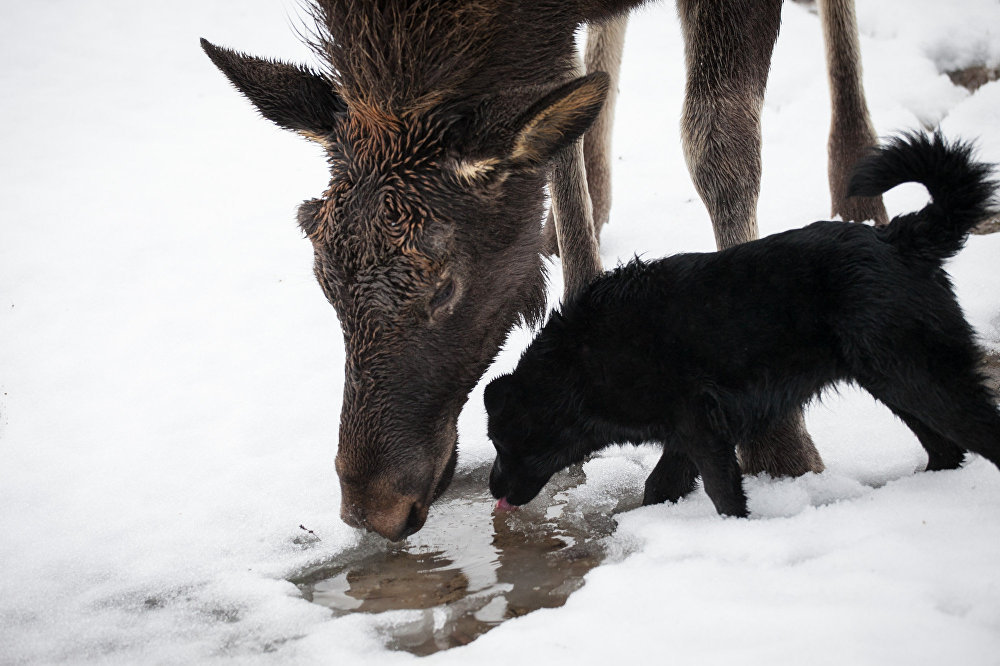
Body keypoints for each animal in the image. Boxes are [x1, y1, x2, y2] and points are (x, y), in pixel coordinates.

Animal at [201, 0, 884, 540]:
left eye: (445, 285)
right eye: (323, 281)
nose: (374, 509)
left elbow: (720, 145)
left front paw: (782, 448)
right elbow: (564, 140)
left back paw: (859, 171)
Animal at [486, 130, 1000, 512]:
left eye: (498, 440)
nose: (492, 489)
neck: (581, 363)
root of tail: (900, 238)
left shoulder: (699, 423)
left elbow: (721, 490)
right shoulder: (687, 431)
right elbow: (661, 486)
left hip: (920, 377)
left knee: (978, 433)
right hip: (894, 380)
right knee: (947, 450)